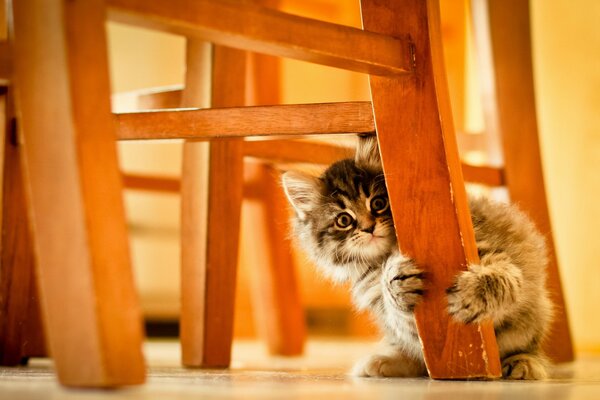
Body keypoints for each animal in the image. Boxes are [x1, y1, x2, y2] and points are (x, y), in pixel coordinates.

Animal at [282, 136, 552, 380]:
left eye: (378, 203)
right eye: (344, 220)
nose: (369, 228)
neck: (383, 256)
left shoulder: (487, 249)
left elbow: (500, 276)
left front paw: (474, 296)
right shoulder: (387, 308)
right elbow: (399, 312)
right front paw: (396, 283)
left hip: (534, 315)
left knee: (527, 344)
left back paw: (523, 362)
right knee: (418, 361)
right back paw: (385, 361)